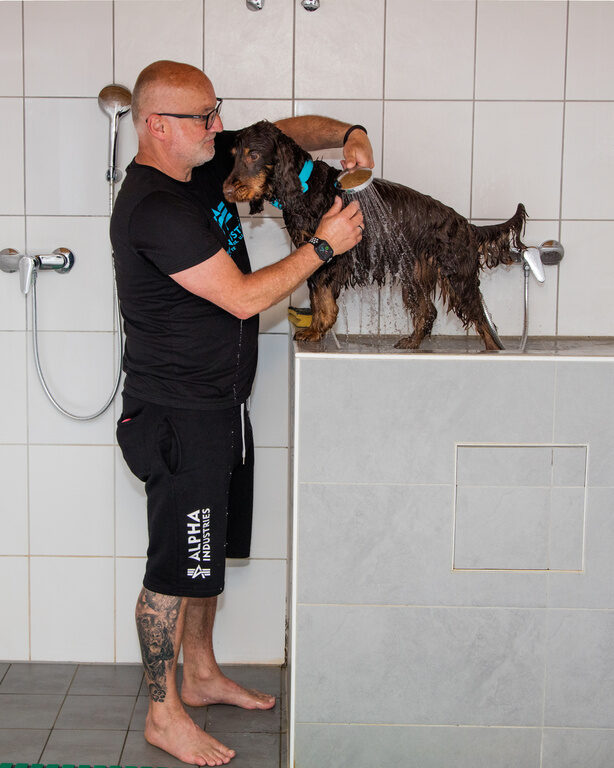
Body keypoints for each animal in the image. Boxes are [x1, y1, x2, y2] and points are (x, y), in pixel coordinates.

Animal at [223, 120, 527, 350]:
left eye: (253, 154)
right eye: (233, 155)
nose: (226, 190)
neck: (304, 186)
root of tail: (465, 224)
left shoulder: (332, 256)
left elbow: (322, 298)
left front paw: (316, 330)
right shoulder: (315, 253)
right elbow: (317, 296)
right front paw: (317, 328)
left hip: (456, 274)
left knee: (482, 320)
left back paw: (494, 351)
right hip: (415, 272)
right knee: (428, 311)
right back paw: (412, 342)